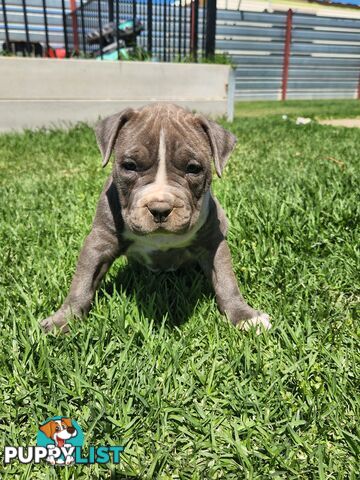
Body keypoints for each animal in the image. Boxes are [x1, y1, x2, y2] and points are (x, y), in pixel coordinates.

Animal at [40, 102, 270, 334]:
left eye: (193, 169)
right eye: (129, 166)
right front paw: (64, 319)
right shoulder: (99, 242)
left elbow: (226, 281)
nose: (160, 208)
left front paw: (244, 315)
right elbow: (82, 282)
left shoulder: (213, 243)